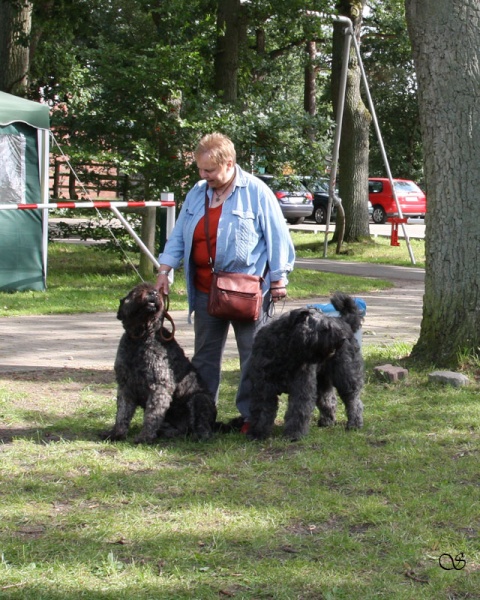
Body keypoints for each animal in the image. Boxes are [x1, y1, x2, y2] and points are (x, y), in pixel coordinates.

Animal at [105, 284, 219, 442]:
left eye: (155, 290)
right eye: (136, 291)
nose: (153, 293)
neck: (141, 338)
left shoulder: (159, 385)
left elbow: (152, 415)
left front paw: (145, 437)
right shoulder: (125, 385)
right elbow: (122, 412)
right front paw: (117, 433)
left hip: (199, 399)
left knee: (203, 425)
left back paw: (200, 435)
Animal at [246, 294, 362, 440]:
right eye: (325, 327)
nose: (342, 339)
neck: (286, 349)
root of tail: (345, 323)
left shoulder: (301, 386)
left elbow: (298, 410)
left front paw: (294, 434)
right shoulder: (263, 387)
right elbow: (261, 410)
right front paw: (257, 433)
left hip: (345, 375)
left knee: (353, 400)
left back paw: (354, 424)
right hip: (322, 380)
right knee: (328, 399)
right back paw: (327, 421)